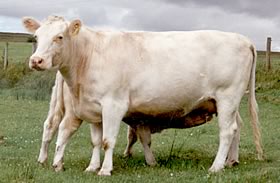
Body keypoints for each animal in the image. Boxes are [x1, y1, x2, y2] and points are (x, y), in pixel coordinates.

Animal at [23, 15, 264, 176]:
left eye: (59, 37)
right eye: (36, 37)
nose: (36, 60)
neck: (90, 56)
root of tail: (243, 39)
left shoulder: (113, 105)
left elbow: (108, 140)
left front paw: (105, 170)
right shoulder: (94, 109)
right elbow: (95, 141)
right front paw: (92, 167)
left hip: (227, 97)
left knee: (227, 131)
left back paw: (216, 166)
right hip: (225, 103)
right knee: (236, 128)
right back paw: (231, 161)